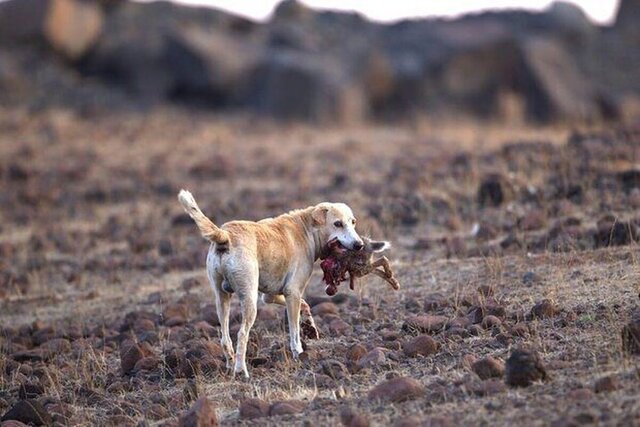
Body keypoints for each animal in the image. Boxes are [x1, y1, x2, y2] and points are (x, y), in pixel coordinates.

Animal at [175, 191, 364, 378]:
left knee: (225, 338)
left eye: (353, 222)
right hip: (249, 300)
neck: (307, 228)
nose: (359, 245)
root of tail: (225, 235)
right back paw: (241, 370)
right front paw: (299, 353)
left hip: (222, 299)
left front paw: (310, 326)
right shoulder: (292, 292)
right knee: (241, 334)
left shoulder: (271, 295)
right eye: (337, 224)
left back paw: (230, 365)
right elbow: (294, 332)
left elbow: (305, 305)